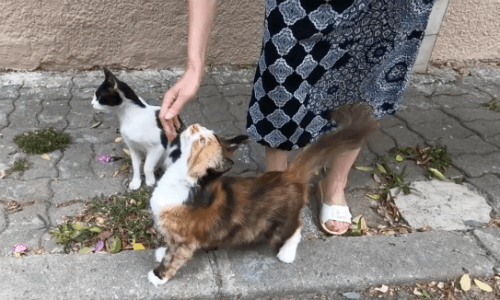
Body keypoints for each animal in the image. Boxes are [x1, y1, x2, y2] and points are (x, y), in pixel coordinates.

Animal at [147, 103, 378, 286]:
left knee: (296, 228)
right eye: (202, 131)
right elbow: (169, 248)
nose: (194, 125)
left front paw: (158, 276)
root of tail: (289, 175)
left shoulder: (184, 241)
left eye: (202, 140)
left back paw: (287, 253)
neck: (182, 181)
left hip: (279, 225)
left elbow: (173, 259)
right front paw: (161, 251)